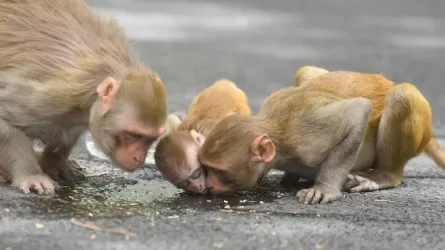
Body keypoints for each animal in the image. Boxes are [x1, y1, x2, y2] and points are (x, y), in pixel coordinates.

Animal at [0, 0, 167, 194]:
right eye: (134, 135)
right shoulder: (46, 98)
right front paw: (31, 174)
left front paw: (56, 163)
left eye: (150, 138)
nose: (139, 159)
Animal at [199, 67, 442, 205]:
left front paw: (325, 189)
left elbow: (358, 111)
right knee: (305, 72)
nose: (208, 185)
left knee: (403, 95)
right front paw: (290, 177)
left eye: (218, 171)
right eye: (205, 167)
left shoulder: (304, 139)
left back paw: (385, 175)